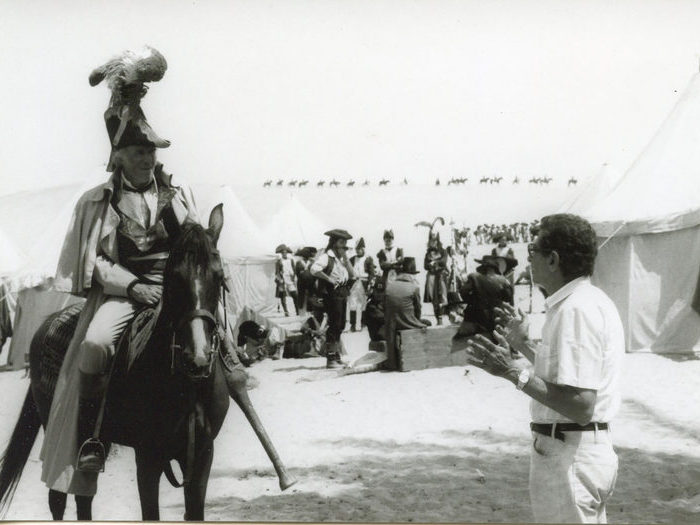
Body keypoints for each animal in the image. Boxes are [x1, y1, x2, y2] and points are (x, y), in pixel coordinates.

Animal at [0, 206, 235, 520]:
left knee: (83, 499)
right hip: (57, 430)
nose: (197, 358)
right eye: (174, 277)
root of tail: (47, 324)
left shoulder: (201, 457)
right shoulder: (148, 458)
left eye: (218, 276)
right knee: (58, 499)